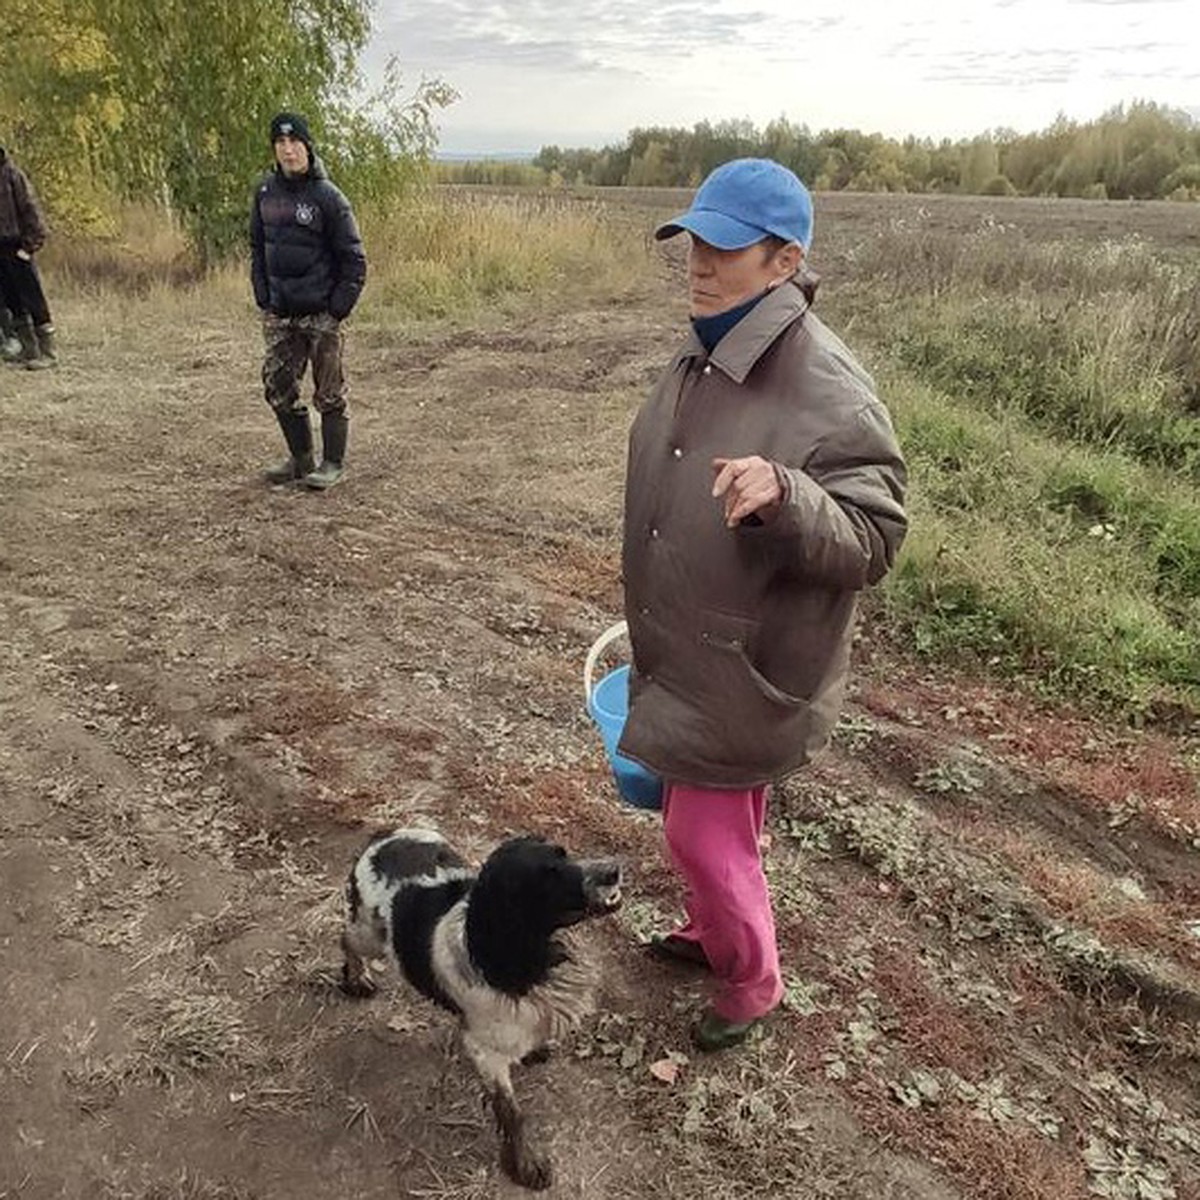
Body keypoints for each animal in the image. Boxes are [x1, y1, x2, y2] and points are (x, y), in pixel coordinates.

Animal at [338, 830, 619, 1185]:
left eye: (564, 853)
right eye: (547, 875)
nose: (613, 870)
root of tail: (383, 837)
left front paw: (535, 1051)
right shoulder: (485, 1051)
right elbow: (512, 1113)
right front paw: (526, 1164)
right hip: (370, 937)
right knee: (346, 938)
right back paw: (356, 979)